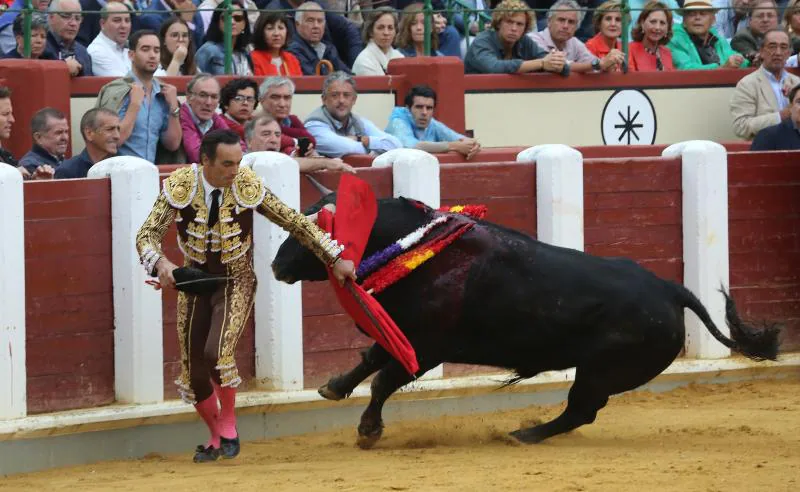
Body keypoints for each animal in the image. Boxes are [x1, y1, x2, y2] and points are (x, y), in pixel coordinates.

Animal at [274, 182, 780, 450]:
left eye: (310, 229)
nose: (277, 266)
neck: (415, 246)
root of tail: (671, 288)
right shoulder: (405, 334)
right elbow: (369, 360)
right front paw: (334, 387)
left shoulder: (428, 345)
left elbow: (382, 379)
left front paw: (368, 430)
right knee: (581, 412)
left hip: (600, 370)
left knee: (581, 410)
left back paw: (525, 434)